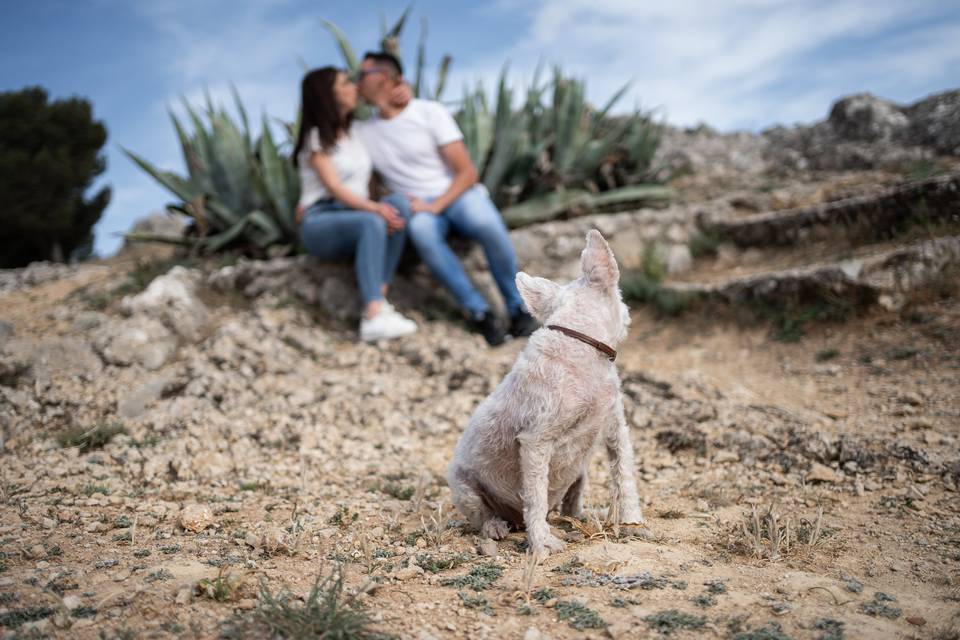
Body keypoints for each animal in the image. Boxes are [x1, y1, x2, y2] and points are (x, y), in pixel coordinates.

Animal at [448, 229, 644, 556]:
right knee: (484, 514)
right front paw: (542, 543)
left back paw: (582, 516)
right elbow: (536, 498)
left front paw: (632, 521)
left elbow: (623, 474)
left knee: (570, 503)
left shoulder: (615, 426)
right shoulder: (535, 441)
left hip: (580, 471)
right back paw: (495, 527)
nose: (630, 315)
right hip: (463, 487)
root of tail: (513, 519)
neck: (579, 341)